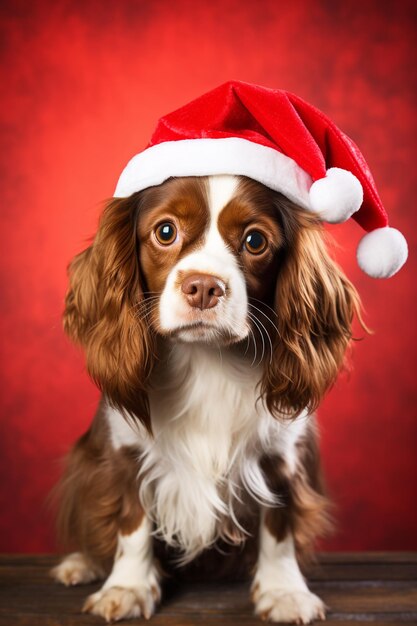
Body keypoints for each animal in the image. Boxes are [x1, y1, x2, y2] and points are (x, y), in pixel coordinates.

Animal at [51, 173, 360, 620]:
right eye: (165, 232)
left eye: (254, 240)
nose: (203, 287)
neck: (207, 359)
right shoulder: (126, 452)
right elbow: (131, 521)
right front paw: (127, 587)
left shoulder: (282, 458)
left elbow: (280, 525)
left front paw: (284, 591)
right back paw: (82, 563)